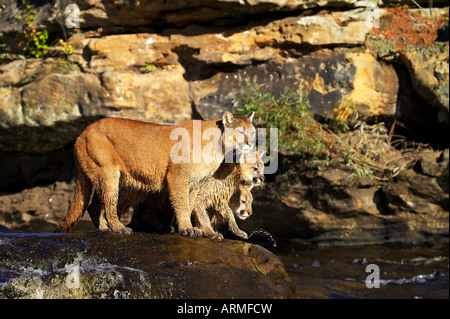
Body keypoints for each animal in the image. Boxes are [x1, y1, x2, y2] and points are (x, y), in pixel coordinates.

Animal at [54, 112, 255, 235]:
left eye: (253, 132)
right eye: (241, 132)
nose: (252, 143)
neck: (218, 145)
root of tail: (82, 133)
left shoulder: (196, 183)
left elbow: (190, 204)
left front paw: (191, 228)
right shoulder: (178, 177)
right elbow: (182, 204)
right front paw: (187, 229)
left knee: (95, 205)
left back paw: (104, 228)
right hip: (108, 172)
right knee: (109, 202)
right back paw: (118, 227)